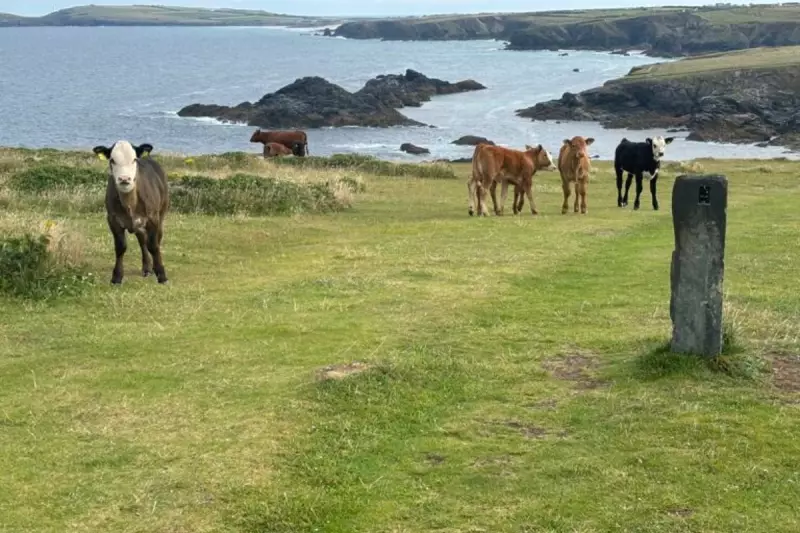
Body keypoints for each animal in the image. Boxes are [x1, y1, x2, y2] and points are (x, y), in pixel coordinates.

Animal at [93, 140, 170, 285]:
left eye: (134, 159)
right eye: (112, 160)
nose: (124, 178)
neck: (130, 204)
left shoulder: (153, 218)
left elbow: (153, 246)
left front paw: (162, 275)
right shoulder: (113, 219)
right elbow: (120, 247)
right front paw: (117, 277)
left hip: (162, 213)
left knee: (156, 239)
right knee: (142, 240)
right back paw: (146, 268)